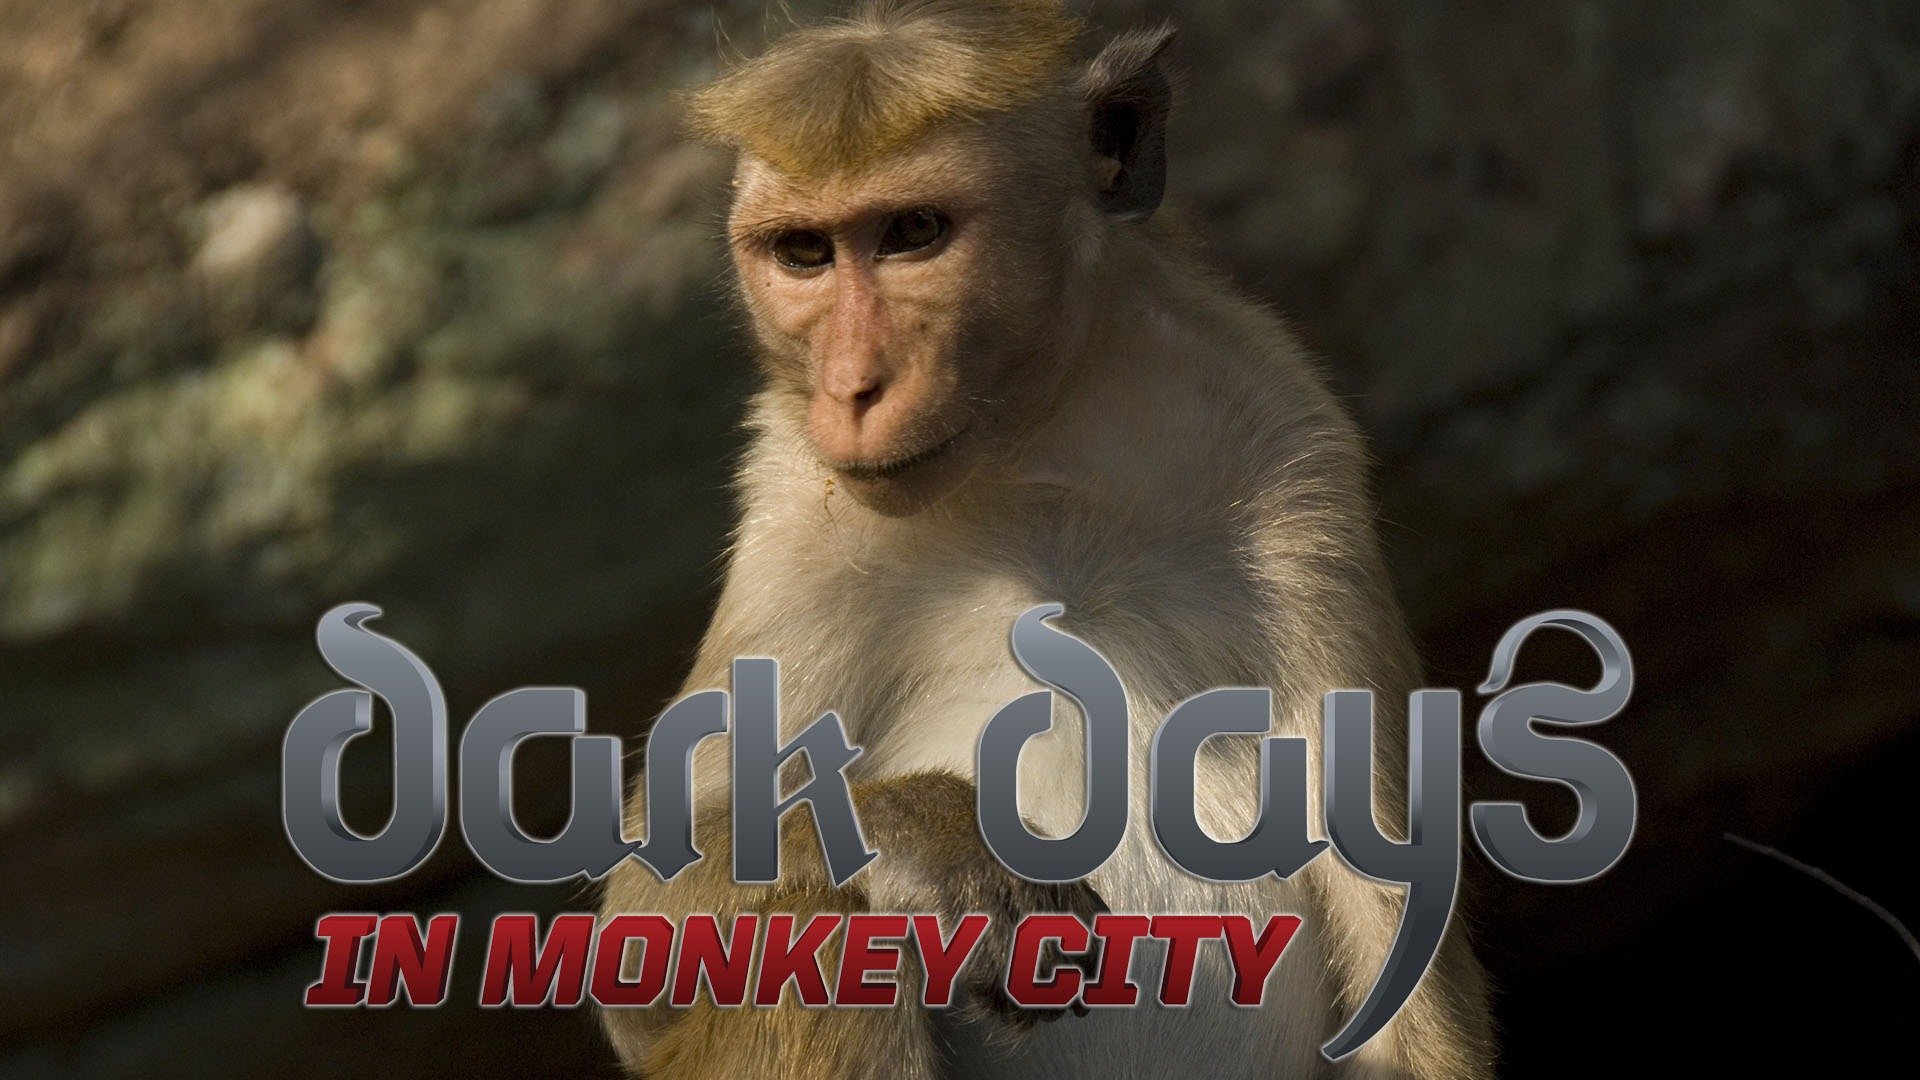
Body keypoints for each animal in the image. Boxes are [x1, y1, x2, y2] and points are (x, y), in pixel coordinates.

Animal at [599, 2, 1495, 1077]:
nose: (852, 388)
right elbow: (640, 921)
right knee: (815, 936)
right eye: (804, 252)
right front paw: (933, 842)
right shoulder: (791, 515)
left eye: (913, 233)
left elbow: (1403, 959)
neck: (1037, 462)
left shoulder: (1293, 466)